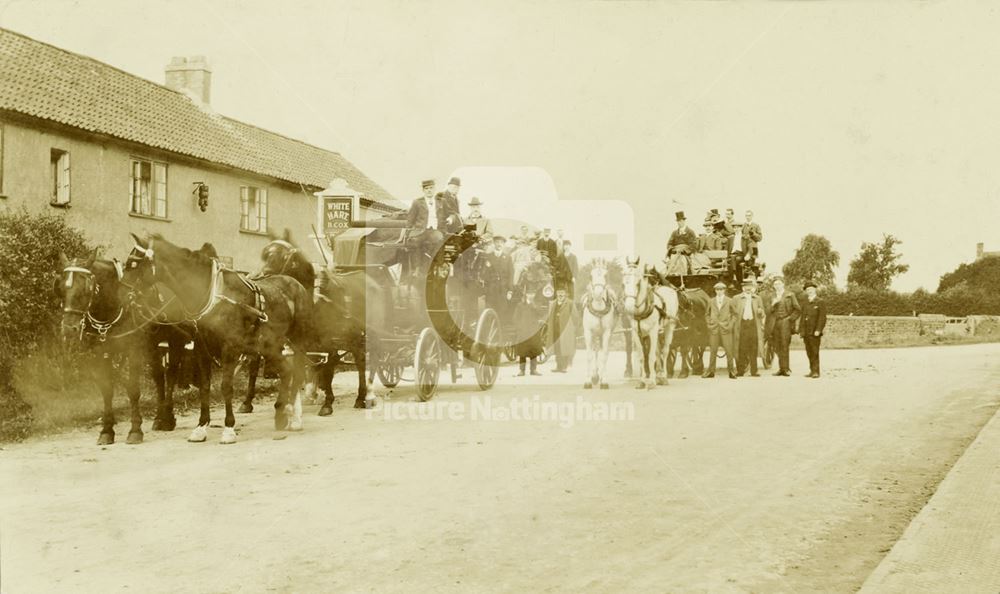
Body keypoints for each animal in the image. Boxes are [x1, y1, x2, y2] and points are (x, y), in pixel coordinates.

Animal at [129, 234, 310, 442]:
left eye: (133, 264)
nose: (125, 296)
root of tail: (295, 284)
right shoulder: (201, 349)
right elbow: (204, 387)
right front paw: (201, 427)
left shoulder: (229, 349)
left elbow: (226, 387)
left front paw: (229, 428)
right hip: (271, 345)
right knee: (287, 371)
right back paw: (282, 414)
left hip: (296, 342)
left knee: (297, 373)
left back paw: (293, 418)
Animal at [580, 260, 616, 388]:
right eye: (591, 276)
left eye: (606, 275)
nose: (598, 293)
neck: (598, 308)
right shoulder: (588, 332)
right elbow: (589, 355)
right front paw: (588, 381)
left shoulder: (607, 333)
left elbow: (604, 355)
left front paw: (603, 381)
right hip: (595, 334)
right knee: (595, 351)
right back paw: (595, 376)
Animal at [624, 256, 680, 388]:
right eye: (624, 281)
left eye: (638, 282)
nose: (628, 306)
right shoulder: (636, 333)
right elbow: (642, 356)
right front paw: (642, 381)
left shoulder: (652, 332)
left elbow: (650, 356)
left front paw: (652, 382)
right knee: (658, 351)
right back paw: (659, 375)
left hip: (669, 327)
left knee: (665, 351)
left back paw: (664, 377)